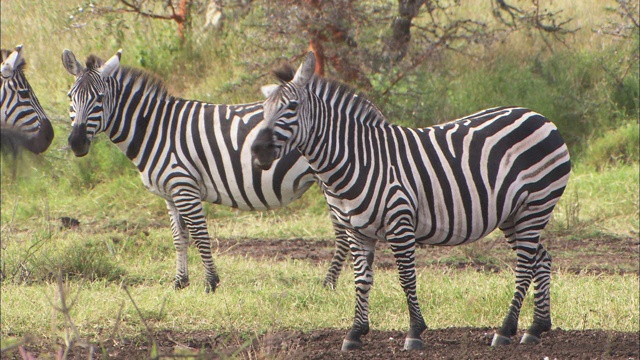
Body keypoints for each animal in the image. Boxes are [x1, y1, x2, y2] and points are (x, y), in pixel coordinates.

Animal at [60, 49, 350, 294]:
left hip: (331, 179)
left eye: (99, 99)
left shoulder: (184, 186)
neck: (156, 129)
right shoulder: (170, 193)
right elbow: (179, 238)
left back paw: (329, 283)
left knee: (344, 233)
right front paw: (180, 282)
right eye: (70, 97)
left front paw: (211, 283)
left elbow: (200, 236)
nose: (76, 143)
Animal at [250, 53, 568, 352]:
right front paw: (355, 333)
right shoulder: (356, 230)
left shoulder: (399, 221)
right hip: (512, 215)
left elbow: (406, 278)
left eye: (291, 107)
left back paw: (505, 330)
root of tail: (538, 116)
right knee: (541, 259)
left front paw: (414, 332)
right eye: (263, 111)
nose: (257, 150)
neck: (358, 159)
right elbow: (361, 280)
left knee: (525, 265)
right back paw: (536, 327)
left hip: (535, 204)